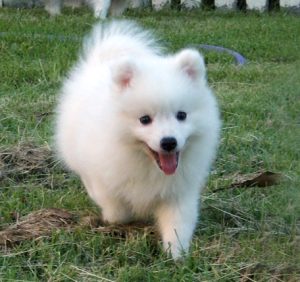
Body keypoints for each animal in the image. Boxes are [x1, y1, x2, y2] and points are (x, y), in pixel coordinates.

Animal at [55, 19, 220, 258]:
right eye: (144, 119)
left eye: (182, 115)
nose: (169, 142)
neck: (147, 163)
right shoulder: (104, 178)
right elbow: (116, 210)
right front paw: (118, 219)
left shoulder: (179, 191)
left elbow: (178, 223)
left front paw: (176, 254)